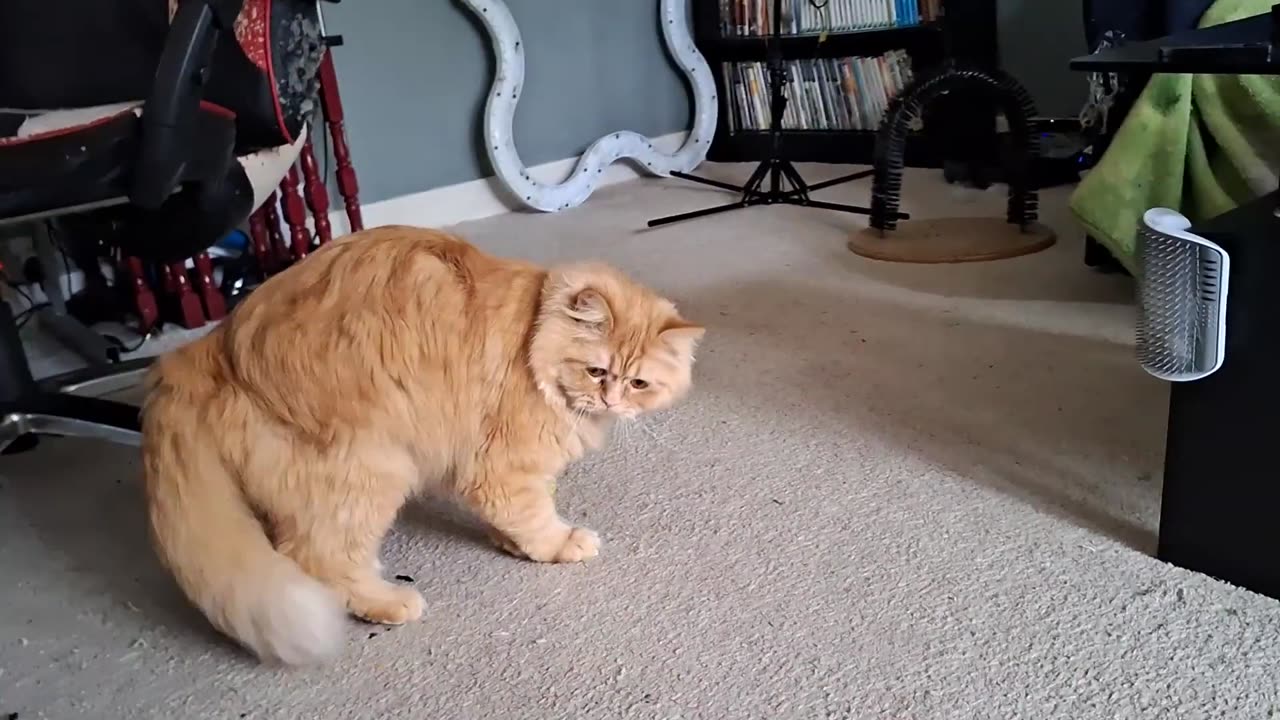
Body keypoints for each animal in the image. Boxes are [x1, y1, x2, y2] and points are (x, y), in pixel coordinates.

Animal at [144, 224, 706, 661]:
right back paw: (389, 604)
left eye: (638, 383)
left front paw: (510, 544)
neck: (534, 334)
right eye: (597, 372)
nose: (611, 400)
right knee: (318, 556)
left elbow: (515, 516)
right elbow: (534, 517)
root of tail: (208, 349)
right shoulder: (504, 466)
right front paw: (558, 545)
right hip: (370, 470)